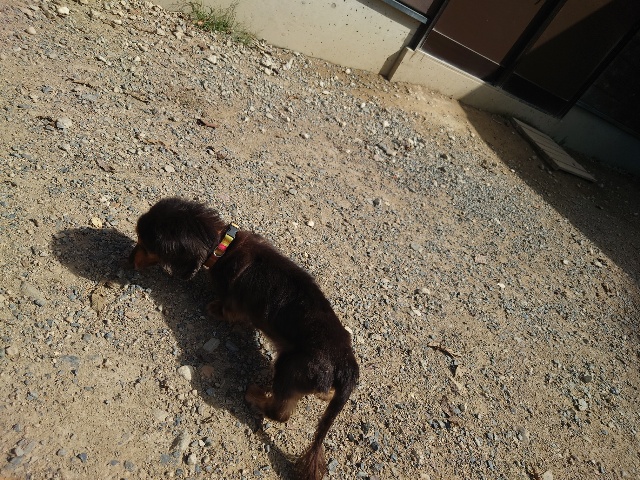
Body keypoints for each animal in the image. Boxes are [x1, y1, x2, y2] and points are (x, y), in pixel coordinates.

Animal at [130, 197, 359, 480]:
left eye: (144, 244)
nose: (128, 260)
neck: (223, 245)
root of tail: (345, 365)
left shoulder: (234, 305)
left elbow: (226, 310)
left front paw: (213, 308)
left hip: (289, 368)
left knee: (279, 413)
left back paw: (254, 395)